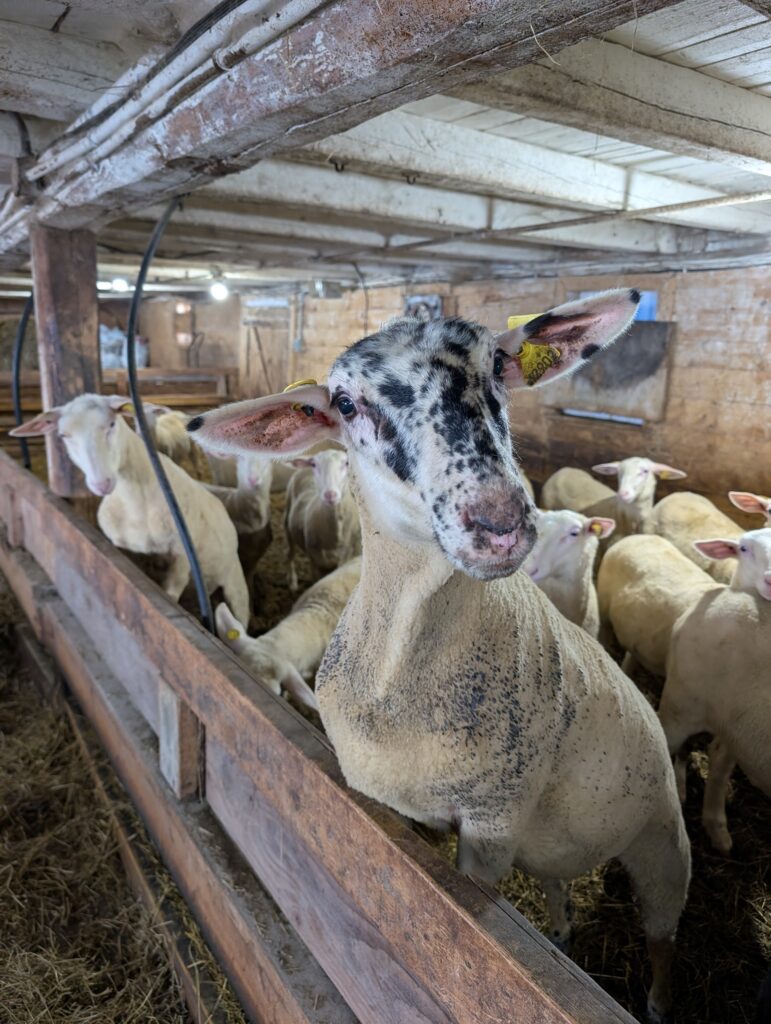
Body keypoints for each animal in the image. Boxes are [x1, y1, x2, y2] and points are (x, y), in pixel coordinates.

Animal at [11, 394, 250, 626]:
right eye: (63, 435)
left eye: (111, 424)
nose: (102, 483)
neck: (136, 504)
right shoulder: (126, 551)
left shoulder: (181, 557)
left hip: (235, 585)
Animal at [284, 450, 361, 591]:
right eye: (314, 464)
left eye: (347, 463)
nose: (330, 495)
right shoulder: (315, 564)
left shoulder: (345, 560)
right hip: (287, 519)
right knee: (289, 553)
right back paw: (292, 582)